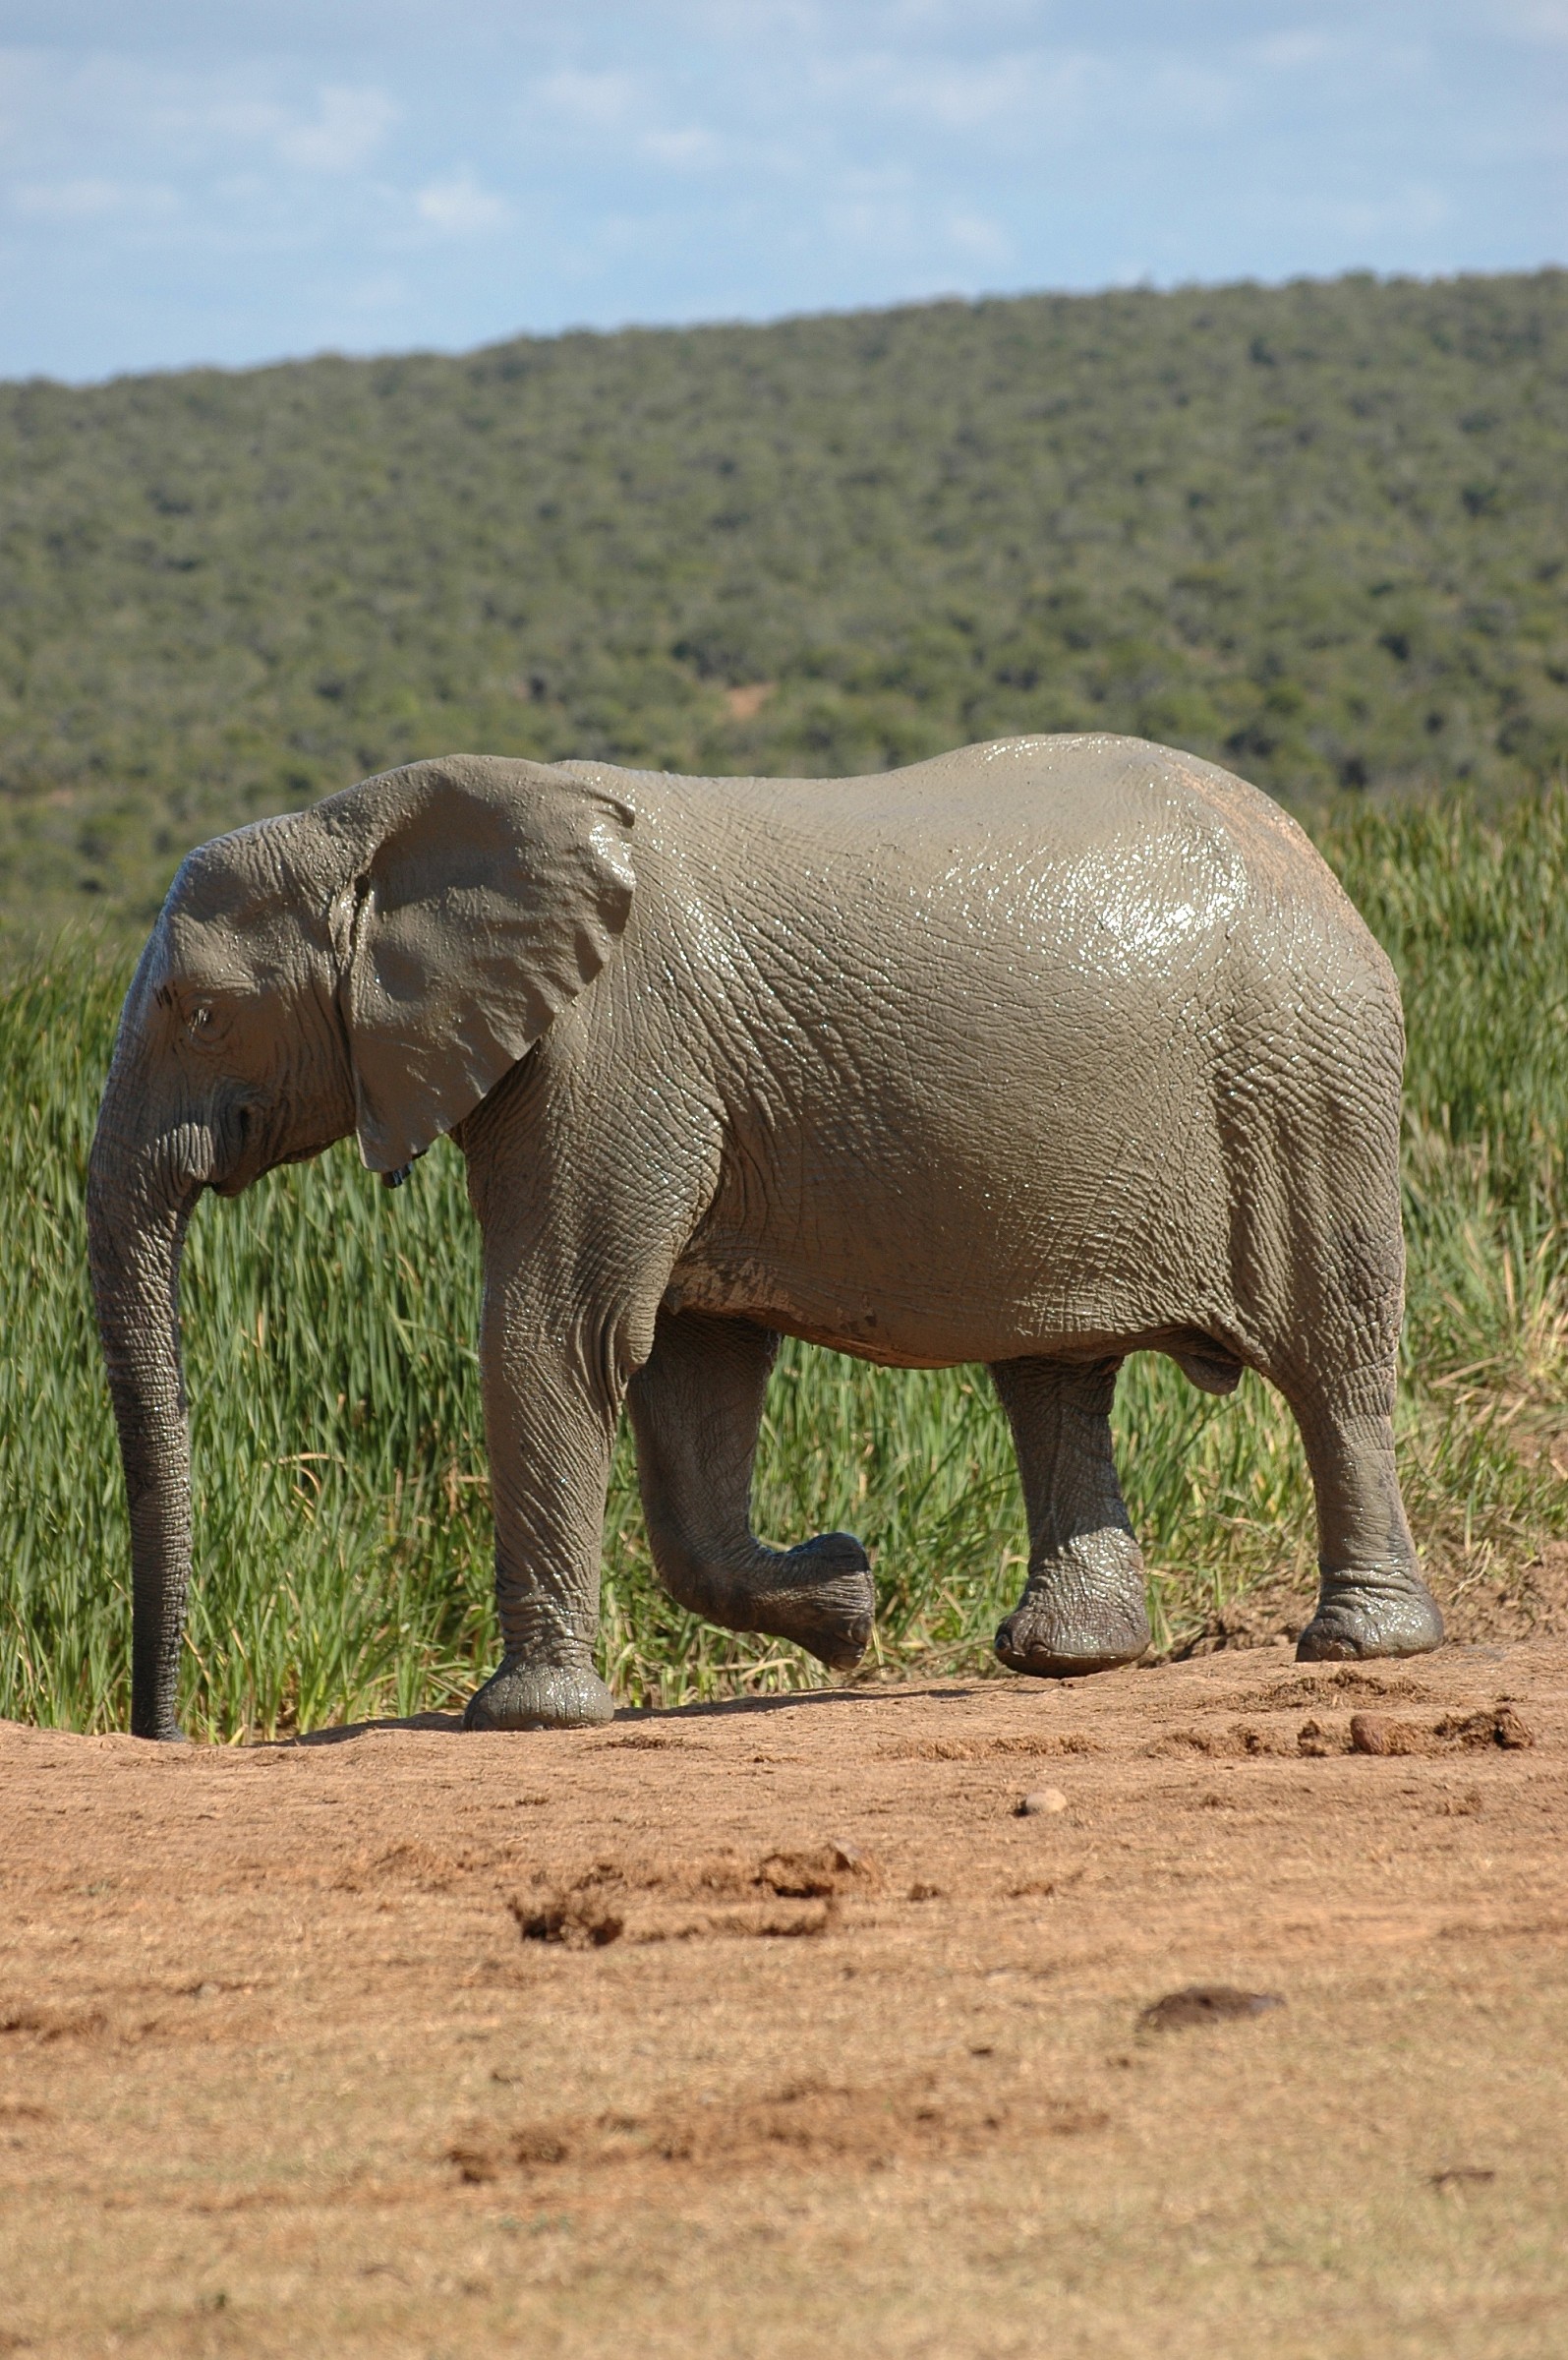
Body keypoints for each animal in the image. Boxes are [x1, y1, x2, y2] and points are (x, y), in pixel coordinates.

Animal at [87, 732, 1444, 1741]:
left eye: (196, 1011)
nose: (164, 1734)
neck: (382, 822)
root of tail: (1311, 857)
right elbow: (688, 1366)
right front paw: (845, 1599)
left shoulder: (616, 1047)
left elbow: (557, 1328)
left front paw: (523, 1718)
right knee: (1053, 1375)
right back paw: (1067, 1659)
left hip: (1301, 1081)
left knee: (1329, 1358)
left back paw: (1360, 1643)